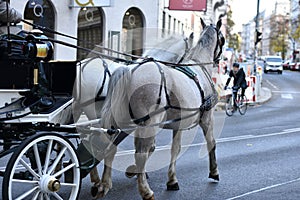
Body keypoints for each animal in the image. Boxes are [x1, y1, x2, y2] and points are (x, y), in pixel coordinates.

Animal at [98, 18, 225, 199]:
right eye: (222, 39)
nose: (218, 60)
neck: (199, 65)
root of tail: (130, 70)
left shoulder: (178, 123)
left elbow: (174, 149)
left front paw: (171, 179)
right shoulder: (207, 118)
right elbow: (211, 142)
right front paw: (214, 172)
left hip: (123, 123)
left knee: (111, 149)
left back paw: (104, 184)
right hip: (149, 123)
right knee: (140, 153)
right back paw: (145, 190)